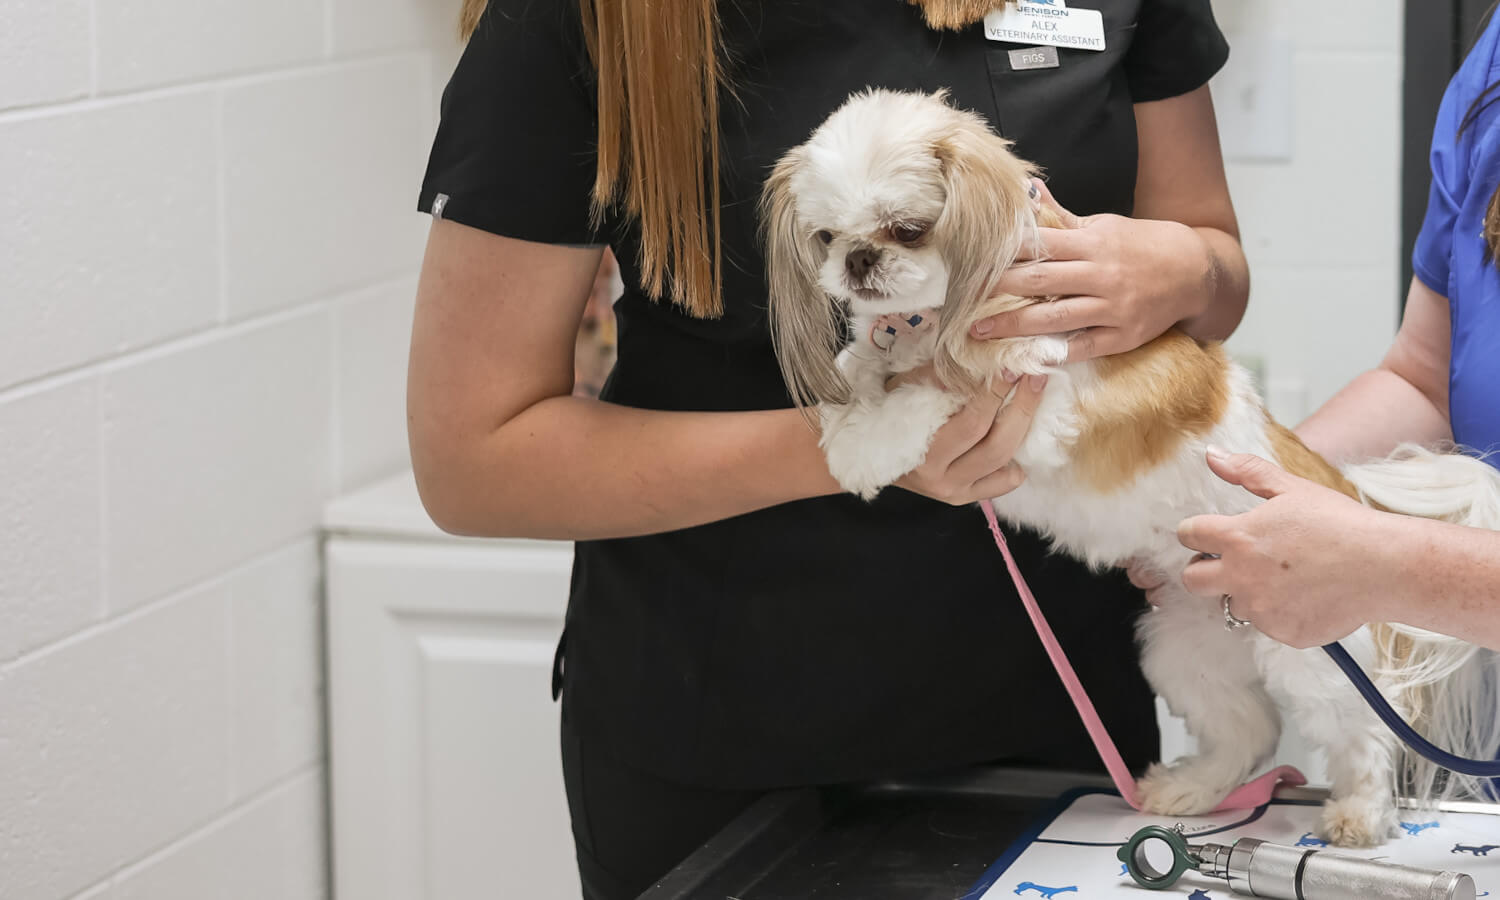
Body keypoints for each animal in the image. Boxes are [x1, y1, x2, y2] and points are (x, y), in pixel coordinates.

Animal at [768, 87, 1500, 846]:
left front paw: (862, 443)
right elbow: (871, 365)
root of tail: (1349, 501)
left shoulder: (1037, 407)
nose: (859, 261)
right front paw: (855, 385)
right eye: (826, 237)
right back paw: (1194, 789)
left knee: (1368, 734)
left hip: (1313, 654)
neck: (942, 317)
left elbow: (930, 397)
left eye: (907, 230)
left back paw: (1361, 812)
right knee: (1249, 731)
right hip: (1186, 647)